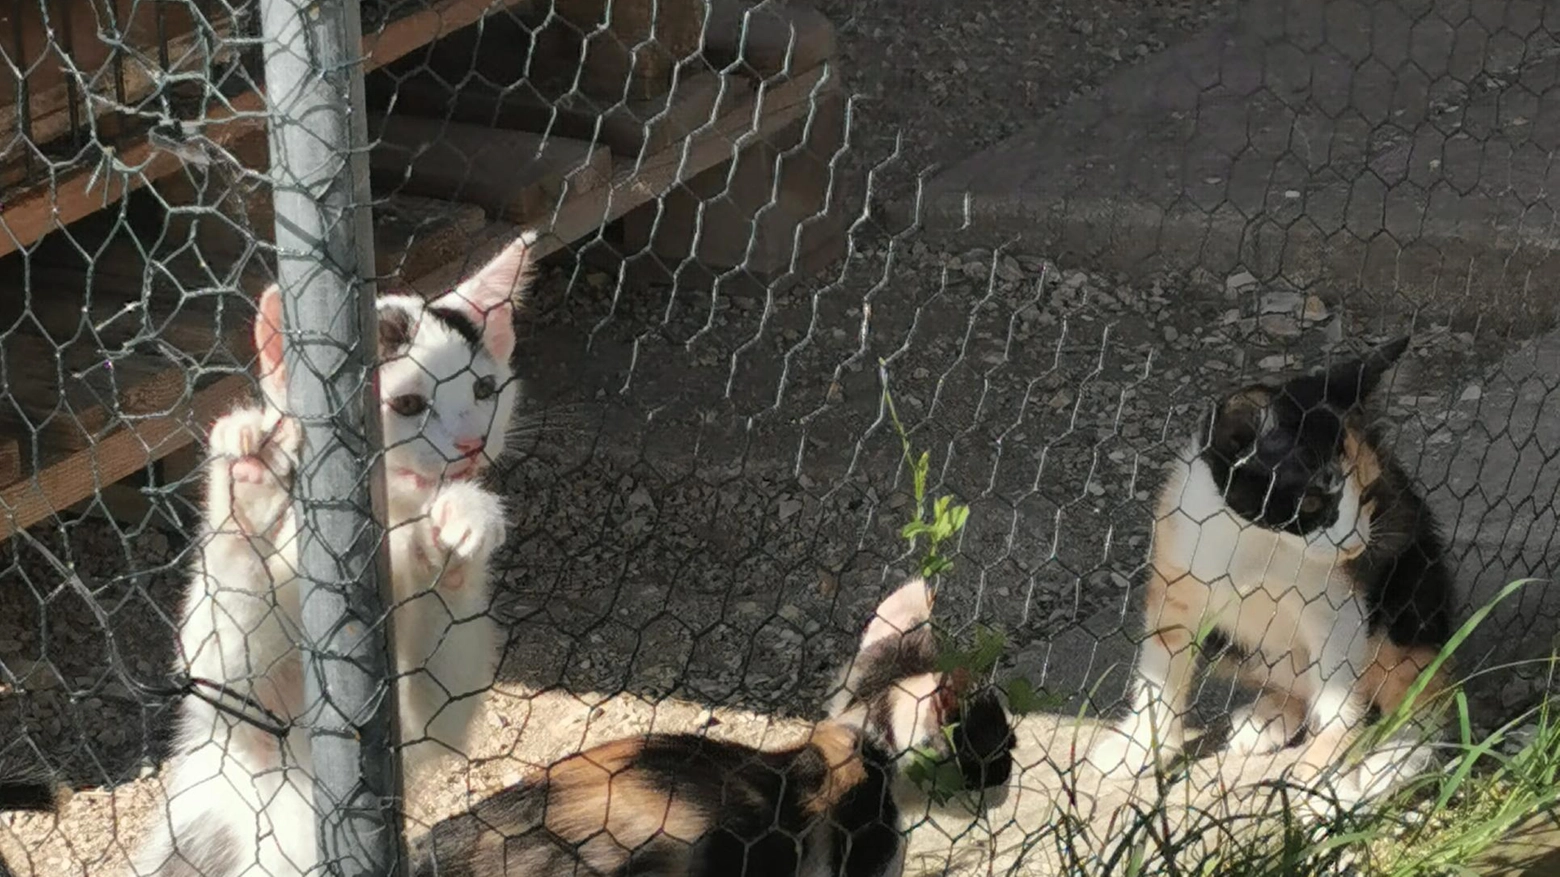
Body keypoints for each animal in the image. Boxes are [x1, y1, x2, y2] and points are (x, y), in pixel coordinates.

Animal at [124, 232, 536, 873]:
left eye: (485, 391)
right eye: (410, 405)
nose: (471, 444)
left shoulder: (414, 732)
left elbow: (442, 701)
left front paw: (456, 534)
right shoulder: (252, 730)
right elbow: (225, 666)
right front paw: (250, 484)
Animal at [1092, 330, 1453, 795]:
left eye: (1369, 494)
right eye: (1312, 501)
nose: (1354, 545)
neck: (1261, 544)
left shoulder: (1339, 606)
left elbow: (1338, 694)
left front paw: (1324, 769)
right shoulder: (1178, 576)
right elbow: (1161, 671)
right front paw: (1138, 746)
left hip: (1409, 602)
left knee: (1425, 693)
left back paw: (1392, 759)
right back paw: (1268, 718)